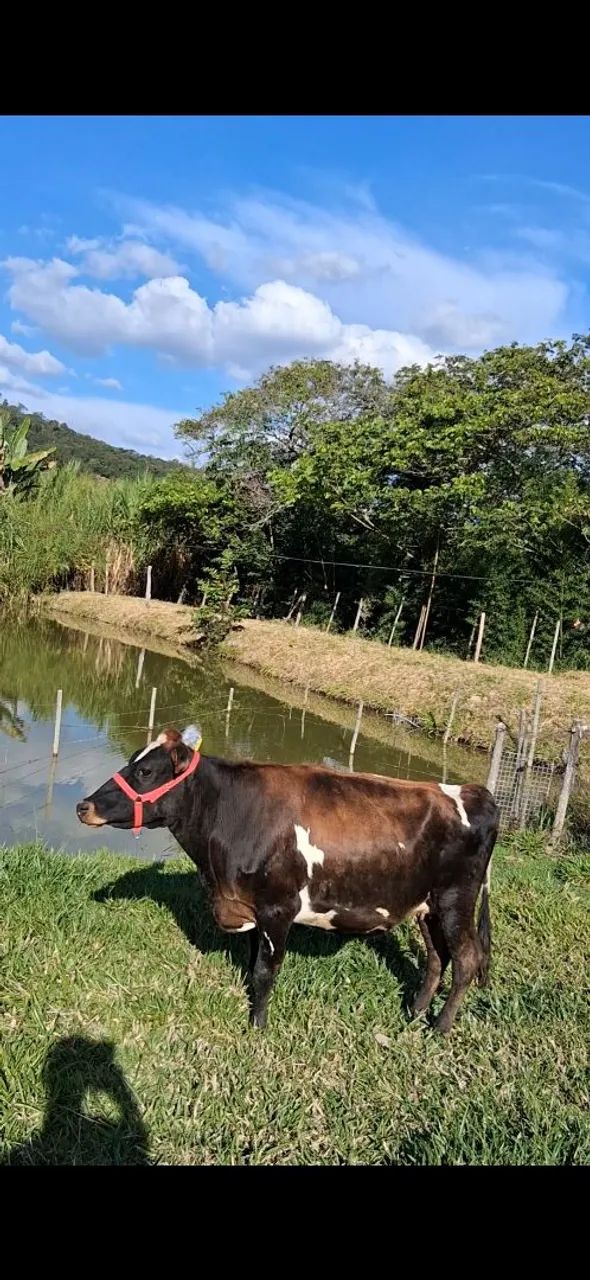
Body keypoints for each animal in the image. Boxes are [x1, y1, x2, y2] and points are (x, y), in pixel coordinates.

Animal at [77, 725, 498, 1034]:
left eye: (145, 771)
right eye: (133, 762)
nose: (84, 806)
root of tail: (474, 792)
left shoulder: (278, 907)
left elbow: (266, 970)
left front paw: (258, 1025)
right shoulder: (249, 906)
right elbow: (251, 964)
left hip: (456, 899)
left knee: (466, 959)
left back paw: (440, 1027)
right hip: (427, 906)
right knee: (436, 957)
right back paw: (414, 1012)